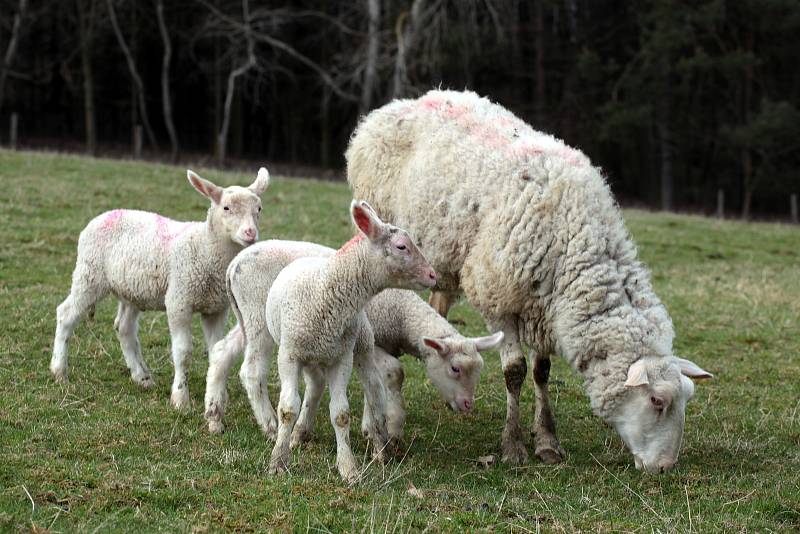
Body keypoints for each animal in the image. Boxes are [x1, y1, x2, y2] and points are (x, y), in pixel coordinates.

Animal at [50, 168, 268, 410]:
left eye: (259, 209)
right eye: (226, 208)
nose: (250, 233)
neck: (206, 248)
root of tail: (102, 216)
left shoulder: (216, 309)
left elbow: (215, 350)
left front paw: (219, 395)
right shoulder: (178, 300)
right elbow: (183, 352)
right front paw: (180, 399)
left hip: (131, 290)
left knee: (124, 328)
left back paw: (142, 377)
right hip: (90, 274)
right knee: (66, 314)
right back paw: (59, 370)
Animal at [203, 242, 504, 444]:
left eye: (478, 371)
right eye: (455, 369)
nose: (468, 405)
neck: (401, 313)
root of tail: (235, 263)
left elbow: (374, 384)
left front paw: (372, 425)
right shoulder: (371, 344)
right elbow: (394, 373)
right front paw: (391, 428)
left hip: (252, 318)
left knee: (221, 351)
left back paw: (215, 416)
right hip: (258, 317)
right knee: (251, 371)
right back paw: (269, 425)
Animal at [262, 202, 438, 486]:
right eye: (401, 246)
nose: (433, 275)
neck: (324, 292)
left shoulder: (342, 357)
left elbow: (341, 414)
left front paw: (348, 467)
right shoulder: (289, 354)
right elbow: (287, 408)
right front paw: (278, 461)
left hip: (361, 346)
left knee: (374, 391)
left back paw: (380, 447)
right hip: (309, 352)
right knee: (315, 386)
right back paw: (299, 434)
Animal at [346, 90, 712, 476]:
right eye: (657, 400)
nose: (665, 467)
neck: (576, 240)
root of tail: (403, 102)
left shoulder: (545, 308)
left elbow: (541, 372)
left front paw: (548, 441)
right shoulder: (499, 300)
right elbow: (515, 372)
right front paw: (513, 444)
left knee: (437, 306)